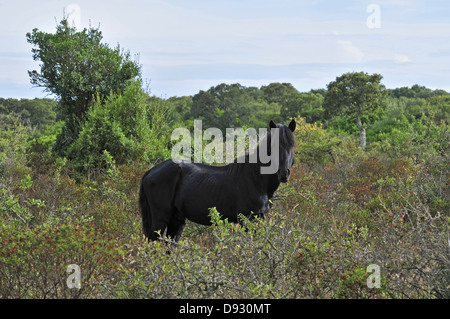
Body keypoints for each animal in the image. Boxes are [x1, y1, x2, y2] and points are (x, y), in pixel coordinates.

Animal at [139, 120, 298, 242]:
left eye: (292, 145)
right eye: (273, 146)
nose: (284, 173)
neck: (256, 179)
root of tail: (150, 172)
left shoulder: (259, 218)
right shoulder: (247, 220)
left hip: (176, 220)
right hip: (160, 220)